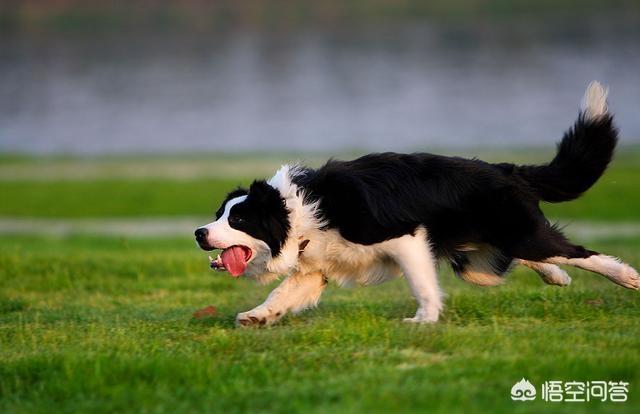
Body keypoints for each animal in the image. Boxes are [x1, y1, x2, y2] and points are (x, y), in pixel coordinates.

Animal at [196, 81, 640, 326]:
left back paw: (628, 278)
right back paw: (556, 277)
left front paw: (423, 320)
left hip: (517, 234)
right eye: (219, 214)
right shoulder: (314, 267)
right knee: (521, 259)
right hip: (479, 261)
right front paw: (256, 316)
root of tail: (507, 169)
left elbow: (422, 282)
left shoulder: (404, 236)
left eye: (239, 219)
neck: (297, 212)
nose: (199, 233)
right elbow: (281, 295)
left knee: (578, 252)